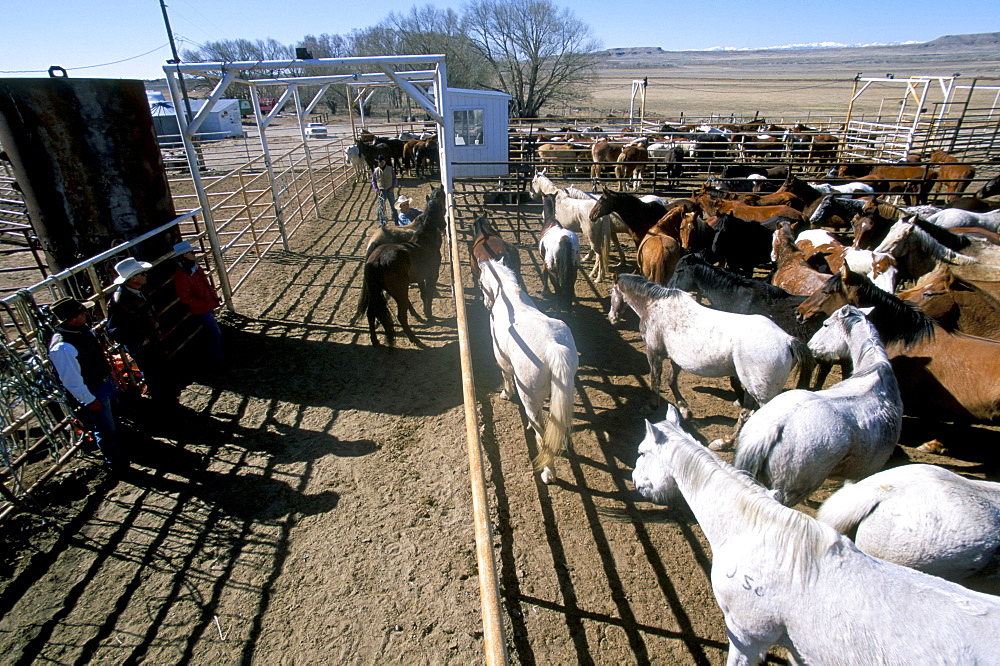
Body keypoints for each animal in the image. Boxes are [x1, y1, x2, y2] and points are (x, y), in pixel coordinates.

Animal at [478, 255, 580, 482]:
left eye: (480, 281)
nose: (485, 303)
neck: (509, 298)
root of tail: (553, 348)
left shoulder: (502, 358)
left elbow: (505, 376)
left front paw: (506, 394)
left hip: (529, 396)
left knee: (542, 435)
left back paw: (548, 474)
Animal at [604, 272, 808, 448]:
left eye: (611, 292)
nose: (611, 318)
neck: (656, 306)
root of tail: (787, 340)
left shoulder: (654, 353)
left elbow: (656, 380)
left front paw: (651, 406)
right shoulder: (677, 358)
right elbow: (671, 380)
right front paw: (684, 409)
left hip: (761, 394)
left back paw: (725, 443)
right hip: (752, 388)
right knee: (746, 413)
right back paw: (725, 441)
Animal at [732, 304, 904, 504]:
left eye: (826, 324)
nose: (811, 346)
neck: (876, 371)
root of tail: (772, 429)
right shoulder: (860, 475)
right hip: (789, 493)